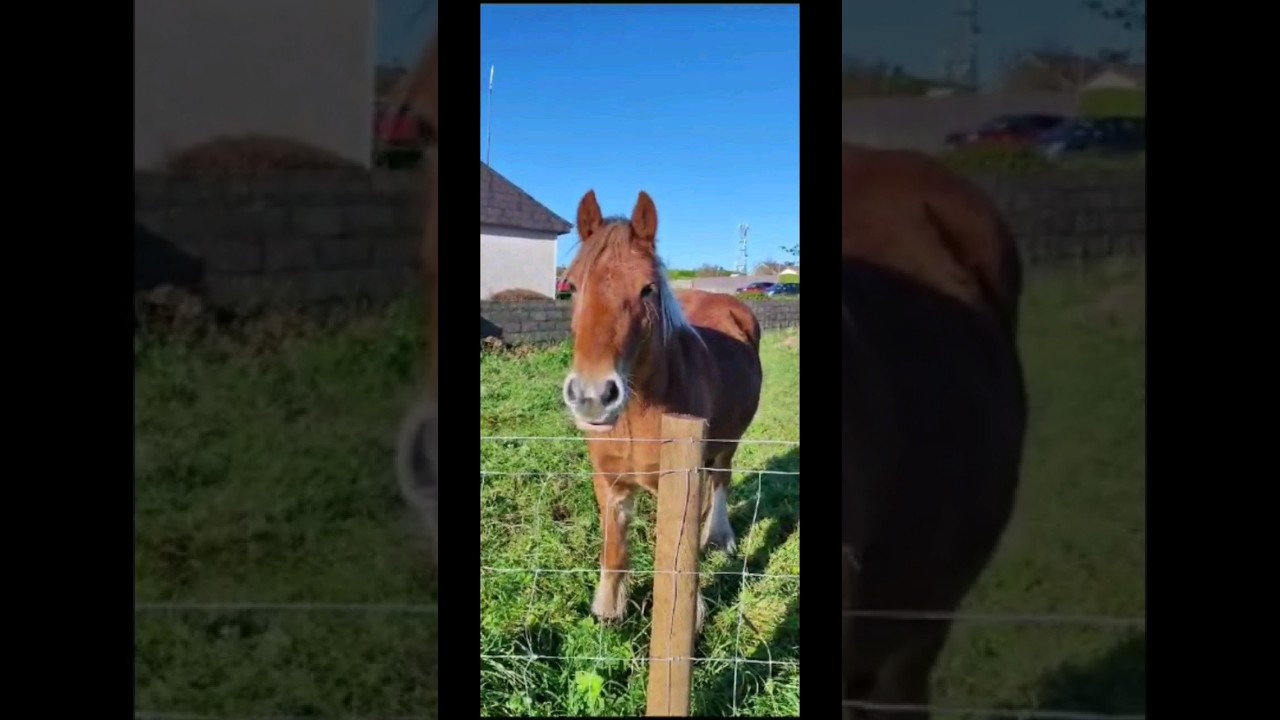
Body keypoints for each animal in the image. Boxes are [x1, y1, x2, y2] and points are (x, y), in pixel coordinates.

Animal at [561, 190, 763, 629]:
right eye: (572, 286)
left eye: (647, 289)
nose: (592, 395)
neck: (638, 417)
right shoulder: (609, 482)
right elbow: (614, 548)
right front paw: (609, 611)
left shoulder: (685, 480)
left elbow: (679, 560)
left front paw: (690, 614)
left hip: (727, 442)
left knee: (722, 478)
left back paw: (719, 537)